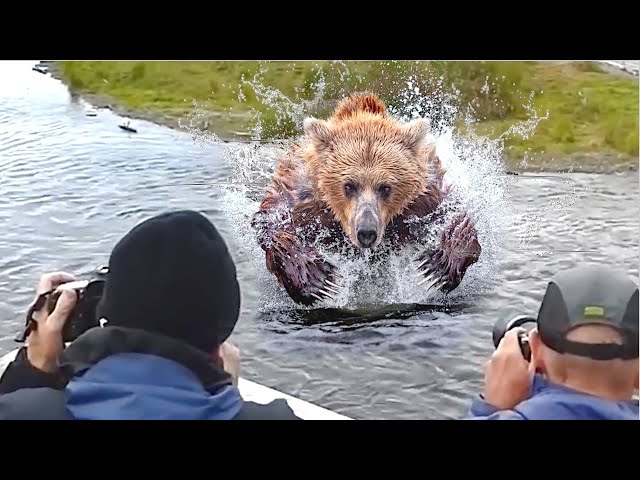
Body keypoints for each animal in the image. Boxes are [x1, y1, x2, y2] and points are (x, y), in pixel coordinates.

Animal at [250, 92, 480, 306]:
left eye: (385, 187)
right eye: (348, 185)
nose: (366, 232)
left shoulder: (424, 200)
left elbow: (456, 217)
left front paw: (438, 266)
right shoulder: (302, 197)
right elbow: (270, 221)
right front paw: (316, 278)